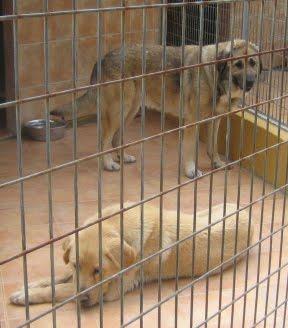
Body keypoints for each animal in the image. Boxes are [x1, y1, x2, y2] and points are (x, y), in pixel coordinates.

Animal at [51, 41, 260, 179]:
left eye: (253, 63)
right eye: (238, 64)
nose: (251, 83)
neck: (214, 74)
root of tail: (103, 59)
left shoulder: (215, 119)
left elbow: (212, 147)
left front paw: (217, 163)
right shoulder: (192, 122)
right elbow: (190, 149)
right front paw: (191, 170)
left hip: (130, 110)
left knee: (117, 138)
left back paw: (123, 157)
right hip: (118, 111)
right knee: (104, 140)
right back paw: (109, 164)